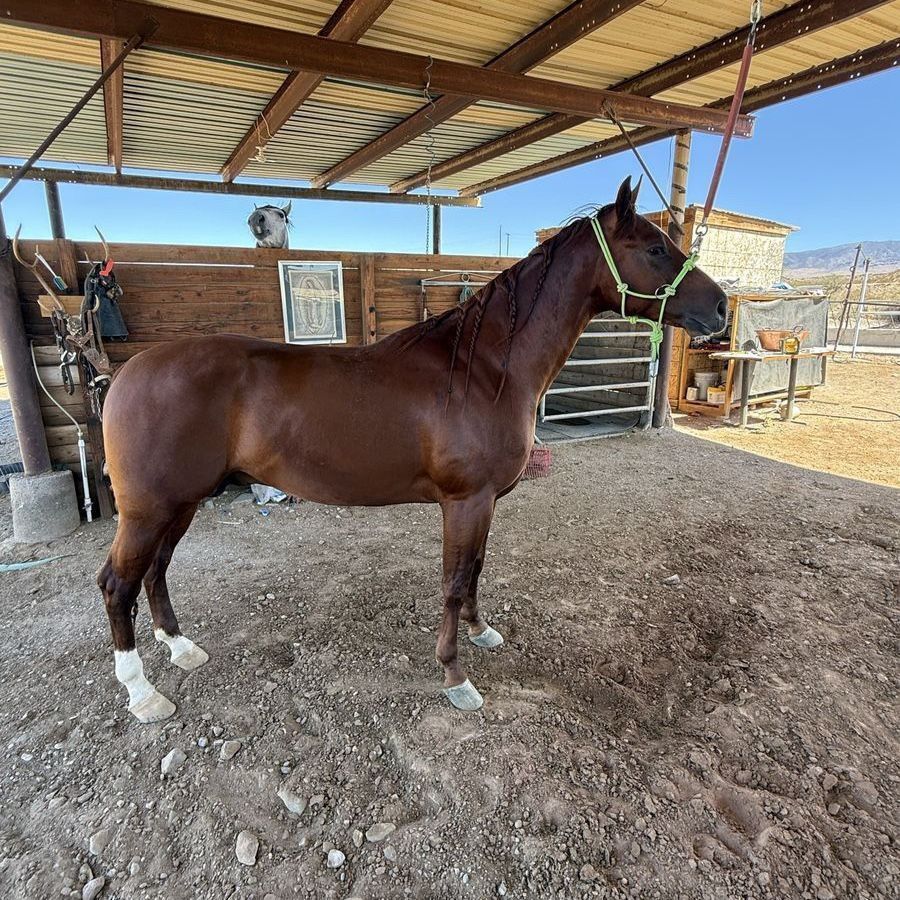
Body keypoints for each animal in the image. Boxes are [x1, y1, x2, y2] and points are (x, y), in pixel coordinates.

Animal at [98, 178, 727, 723]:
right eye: (655, 247)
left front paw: (481, 631)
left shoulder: (484, 503)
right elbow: (452, 582)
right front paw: (456, 678)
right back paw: (142, 694)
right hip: (150, 509)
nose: (720, 308)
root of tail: (127, 374)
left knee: (155, 573)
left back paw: (182, 649)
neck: (484, 367)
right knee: (117, 585)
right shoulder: (465, 501)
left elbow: (474, 571)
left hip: (180, 504)